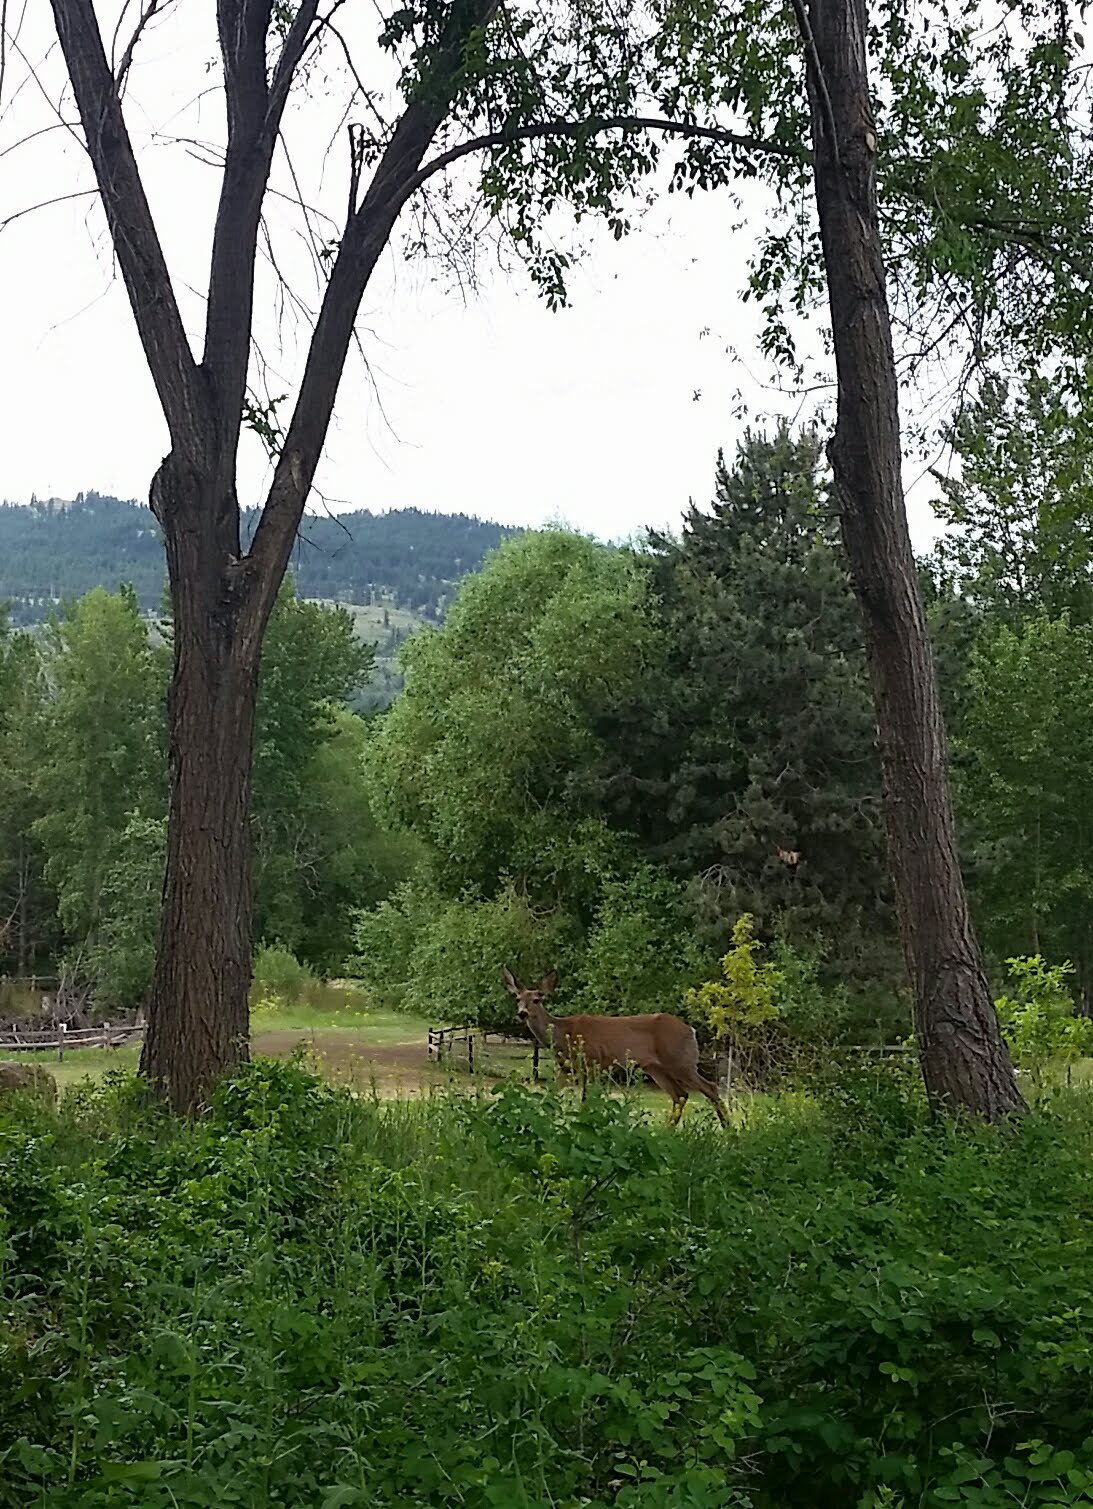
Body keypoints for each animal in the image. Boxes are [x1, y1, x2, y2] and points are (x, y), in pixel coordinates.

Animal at [503, 968, 728, 1128]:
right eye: (517, 998)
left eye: (537, 999)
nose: (522, 1013)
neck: (564, 1034)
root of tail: (691, 1030)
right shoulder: (566, 1069)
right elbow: (550, 1096)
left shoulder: (592, 1062)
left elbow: (586, 1101)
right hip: (656, 1067)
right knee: (680, 1094)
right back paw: (667, 1131)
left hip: (680, 1060)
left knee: (710, 1087)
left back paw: (728, 1130)